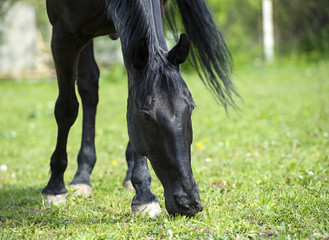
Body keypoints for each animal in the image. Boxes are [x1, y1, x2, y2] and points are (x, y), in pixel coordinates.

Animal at [42, 0, 236, 218]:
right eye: (146, 117)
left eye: (192, 108)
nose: (189, 203)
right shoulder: (63, 35)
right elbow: (66, 109)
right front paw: (55, 187)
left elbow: (130, 102)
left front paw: (144, 193)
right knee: (88, 86)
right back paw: (81, 177)